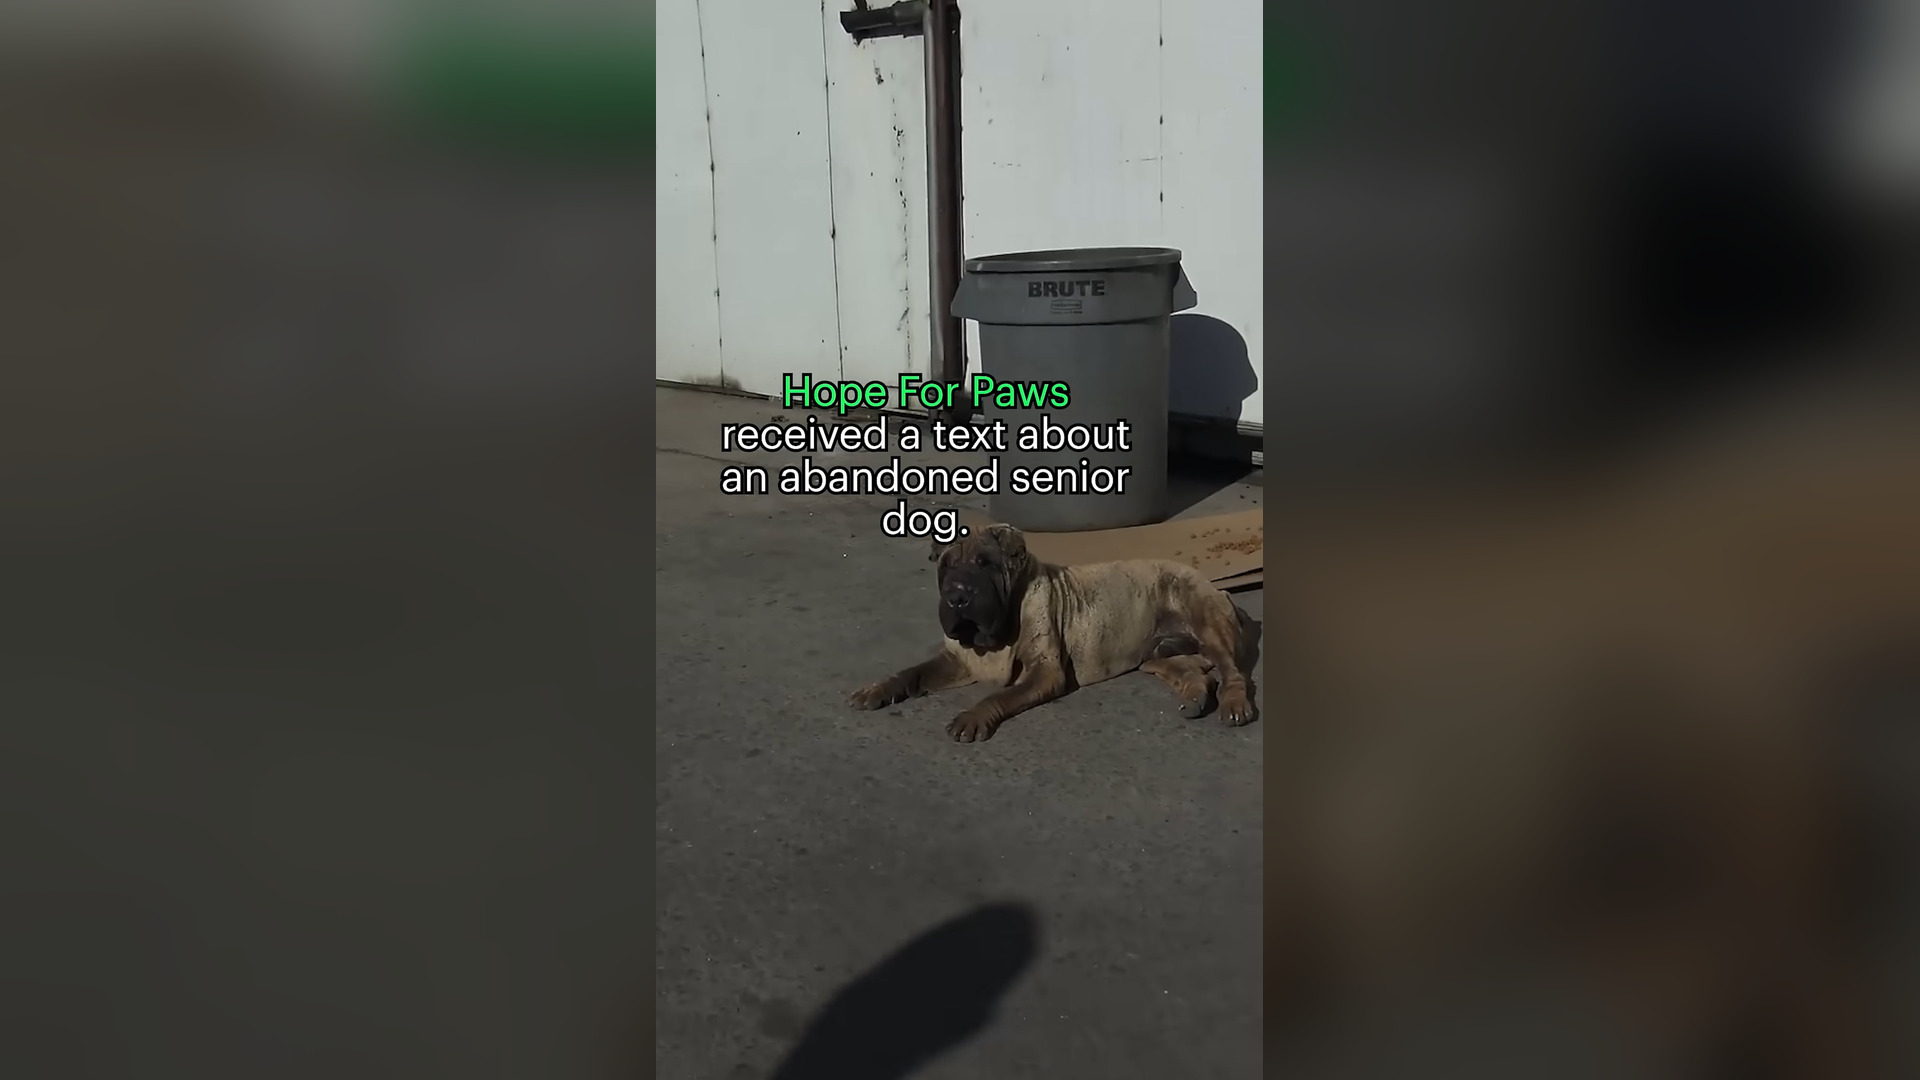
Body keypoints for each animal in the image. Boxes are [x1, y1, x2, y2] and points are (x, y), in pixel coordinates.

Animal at [846, 523, 1257, 742]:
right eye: (946, 566)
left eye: (984, 563)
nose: (957, 596)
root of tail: (1218, 587)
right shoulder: (954, 659)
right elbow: (912, 672)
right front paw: (878, 688)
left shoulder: (1044, 671)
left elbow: (998, 695)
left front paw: (972, 716)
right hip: (1157, 655)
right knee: (1192, 671)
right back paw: (1195, 697)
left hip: (1207, 623)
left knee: (1233, 673)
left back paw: (1234, 705)